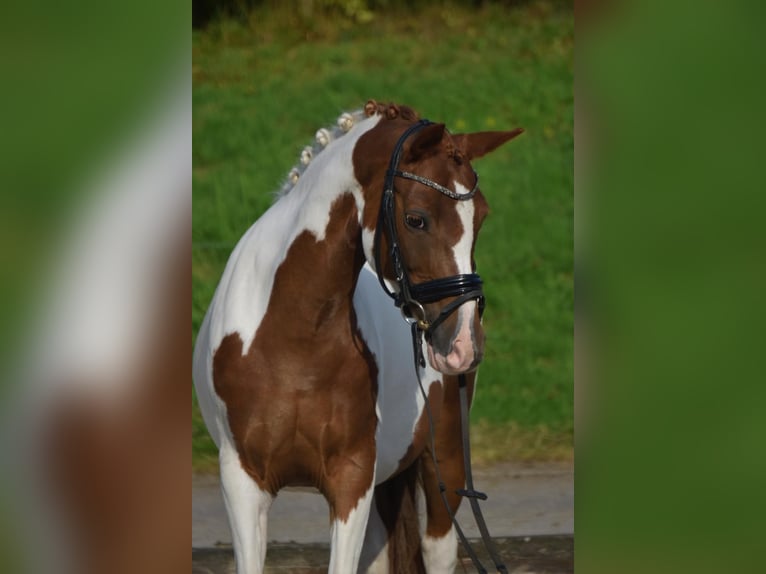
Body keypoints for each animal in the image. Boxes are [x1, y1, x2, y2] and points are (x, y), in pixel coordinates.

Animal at [195, 101, 524, 572]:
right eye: (416, 219)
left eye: (481, 216)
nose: (463, 345)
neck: (292, 342)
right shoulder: (242, 482)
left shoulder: (351, 478)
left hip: (444, 462)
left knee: (438, 548)